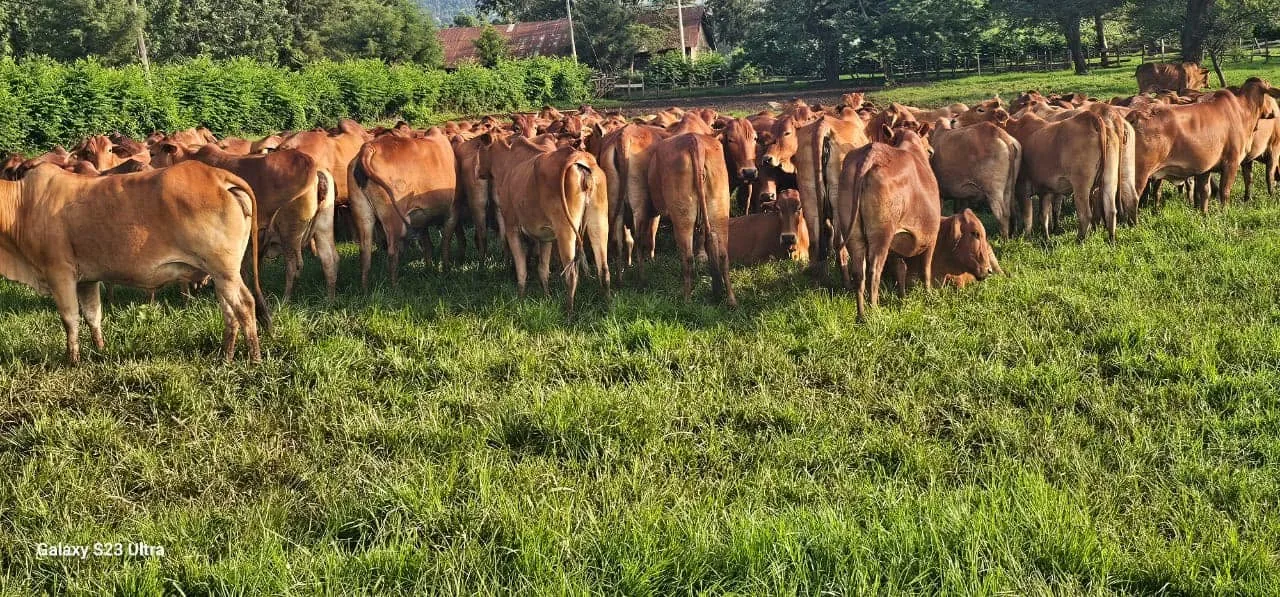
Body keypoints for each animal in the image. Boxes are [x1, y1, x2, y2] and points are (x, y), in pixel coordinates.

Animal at [0, 161, 269, 363]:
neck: (22, 206)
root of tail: (217, 175)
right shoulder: (86, 279)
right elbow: (93, 315)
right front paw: (100, 350)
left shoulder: (59, 273)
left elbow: (70, 319)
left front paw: (72, 361)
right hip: (220, 274)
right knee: (229, 311)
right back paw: (226, 356)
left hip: (224, 270)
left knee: (245, 305)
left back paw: (254, 359)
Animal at [348, 132, 459, 288]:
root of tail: (368, 147)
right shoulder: (452, 212)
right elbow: (445, 244)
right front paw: (446, 271)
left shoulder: (421, 219)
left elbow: (427, 245)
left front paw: (429, 270)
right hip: (393, 217)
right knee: (392, 252)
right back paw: (395, 287)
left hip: (363, 214)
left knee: (365, 252)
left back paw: (365, 289)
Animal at [477, 133, 611, 313]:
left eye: (479, 148)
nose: (477, 170)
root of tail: (578, 157)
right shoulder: (545, 237)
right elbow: (543, 269)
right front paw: (547, 297)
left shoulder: (512, 228)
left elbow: (522, 268)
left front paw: (520, 299)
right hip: (599, 221)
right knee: (603, 268)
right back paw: (608, 305)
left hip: (565, 230)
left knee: (571, 273)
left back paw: (569, 312)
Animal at [835, 127, 941, 320]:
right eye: (929, 150)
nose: (931, 151)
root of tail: (872, 152)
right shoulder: (932, 237)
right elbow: (926, 270)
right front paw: (929, 295)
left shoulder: (897, 245)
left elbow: (901, 269)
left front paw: (902, 297)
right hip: (882, 234)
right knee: (874, 271)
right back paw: (875, 312)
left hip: (855, 235)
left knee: (859, 272)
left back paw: (861, 316)